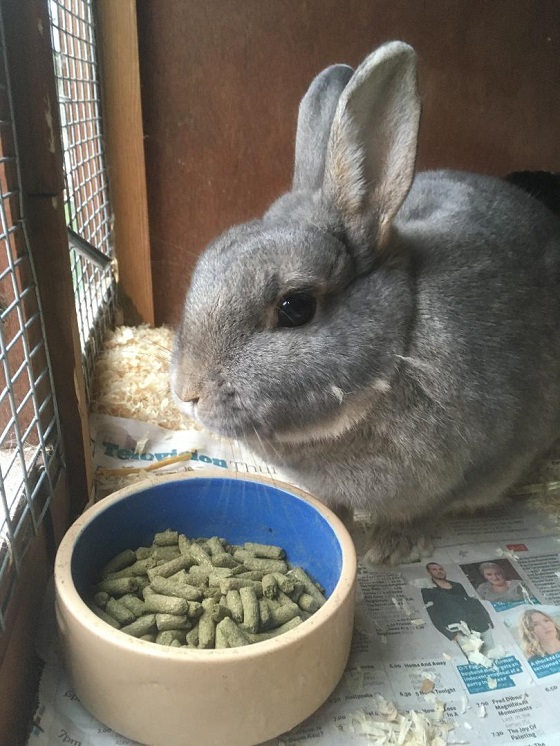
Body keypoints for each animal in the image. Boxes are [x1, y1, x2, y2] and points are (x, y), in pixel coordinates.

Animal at [170, 42, 560, 565]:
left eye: (295, 307)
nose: (185, 391)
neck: (399, 347)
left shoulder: (481, 461)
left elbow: (430, 510)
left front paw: (391, 548)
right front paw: (342, 524)